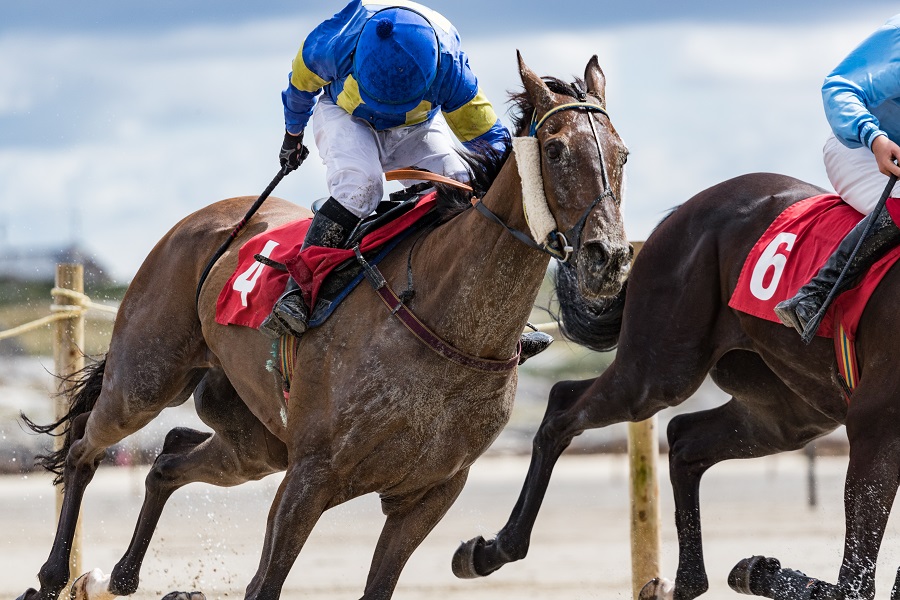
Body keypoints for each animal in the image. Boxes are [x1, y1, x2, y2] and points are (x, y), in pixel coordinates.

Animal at [17, 55, 628, 600]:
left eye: (622, 154)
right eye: (554, 149)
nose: (609, 257)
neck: (449, 326)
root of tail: (199, 221)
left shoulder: (430, 492)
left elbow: (378, 585)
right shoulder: (310, 477)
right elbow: (264, 585)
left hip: (256, 445)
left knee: (167, 459)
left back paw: (121, 574)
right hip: (146, 380)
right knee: (85, 447)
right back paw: (50, 577)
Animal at [450, 170, 900, 600]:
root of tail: (685, 209)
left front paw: (759, 571)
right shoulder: (876, 428)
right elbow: (855, 585)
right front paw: (770, 572)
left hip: (787, 409)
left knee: (684, 440)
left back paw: (685, 582)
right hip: (658, 372)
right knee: (564, 406)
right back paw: (492, 550)